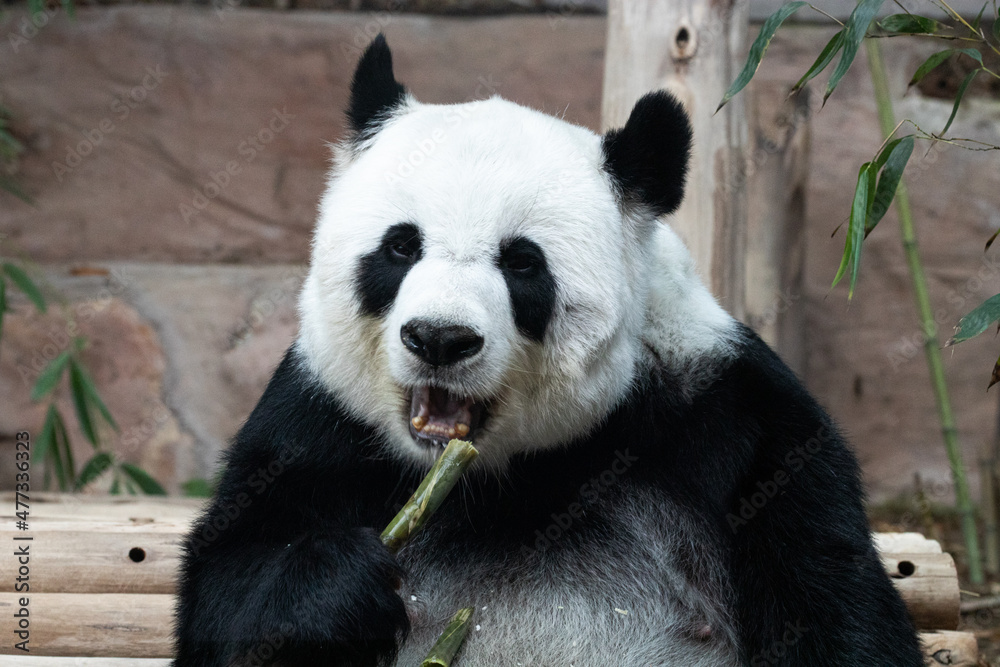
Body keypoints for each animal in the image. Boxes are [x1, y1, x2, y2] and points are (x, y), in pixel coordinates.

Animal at [174, 34, 923, 667]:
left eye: (522, 262)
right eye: (400, 246)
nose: (440, 338)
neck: (497, 476)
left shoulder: (731, 419)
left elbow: (832, 600)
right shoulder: (317, 419)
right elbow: (228, 579)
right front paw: (336, 590)